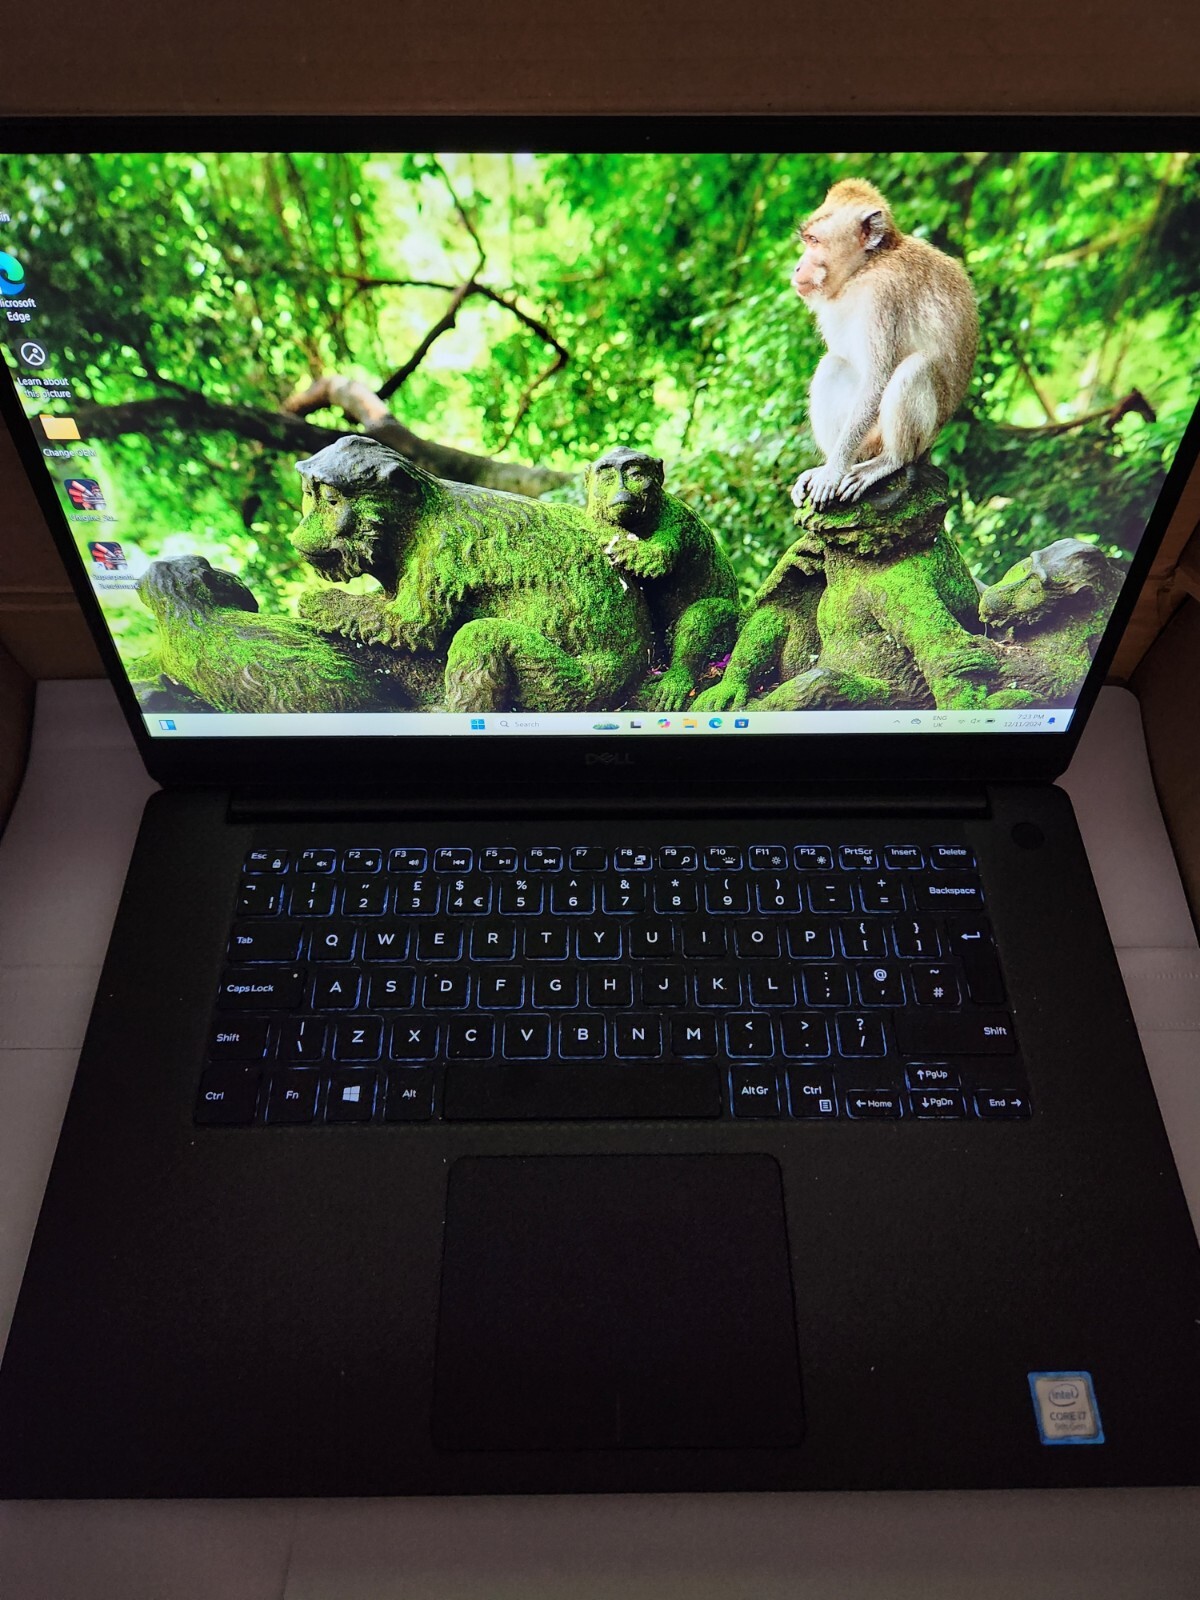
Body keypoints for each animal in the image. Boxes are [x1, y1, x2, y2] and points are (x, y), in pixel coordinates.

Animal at [788, 179, 978, 509]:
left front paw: (833, 472)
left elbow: (878, 379)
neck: (868, 266)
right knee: (833, 364)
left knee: (914, 369)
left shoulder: (883, 296)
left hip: (898, 440)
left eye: (814, 241)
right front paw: (828, 469)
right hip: (868, 441)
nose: (798, 268)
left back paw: (888, 461)